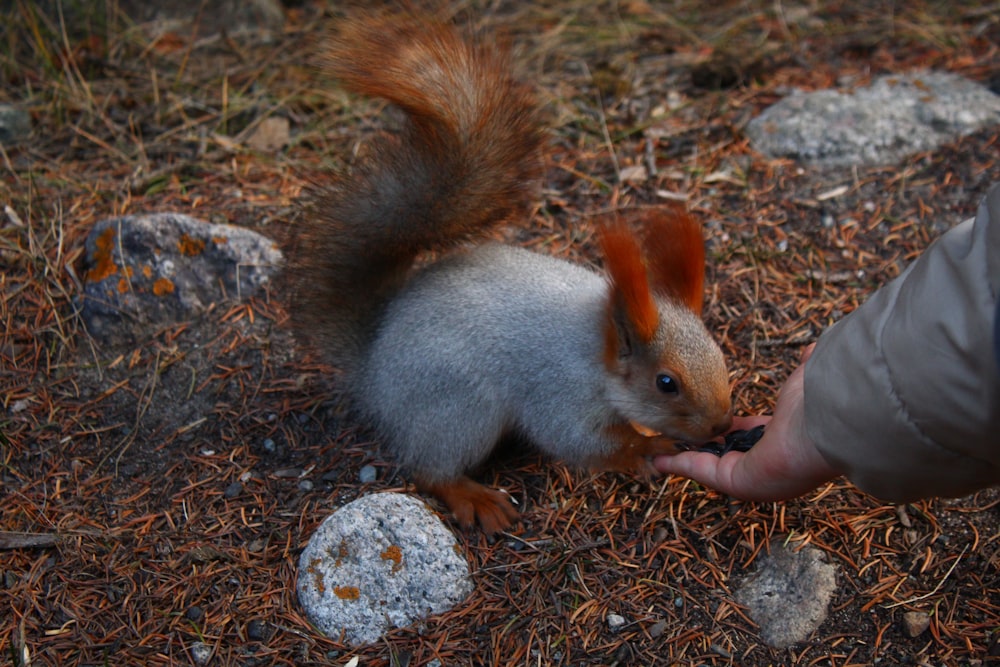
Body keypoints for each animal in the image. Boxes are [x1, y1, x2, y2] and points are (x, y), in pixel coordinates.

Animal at [286, 14, 732, 532]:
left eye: (718, 352)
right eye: (666, 383)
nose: (722, 424)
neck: (598, 343)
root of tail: (373, 370)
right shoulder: (559, 390)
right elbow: (579, 440)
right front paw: (648, 444)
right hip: (457, 407)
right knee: (429, 469)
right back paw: (472, 496)